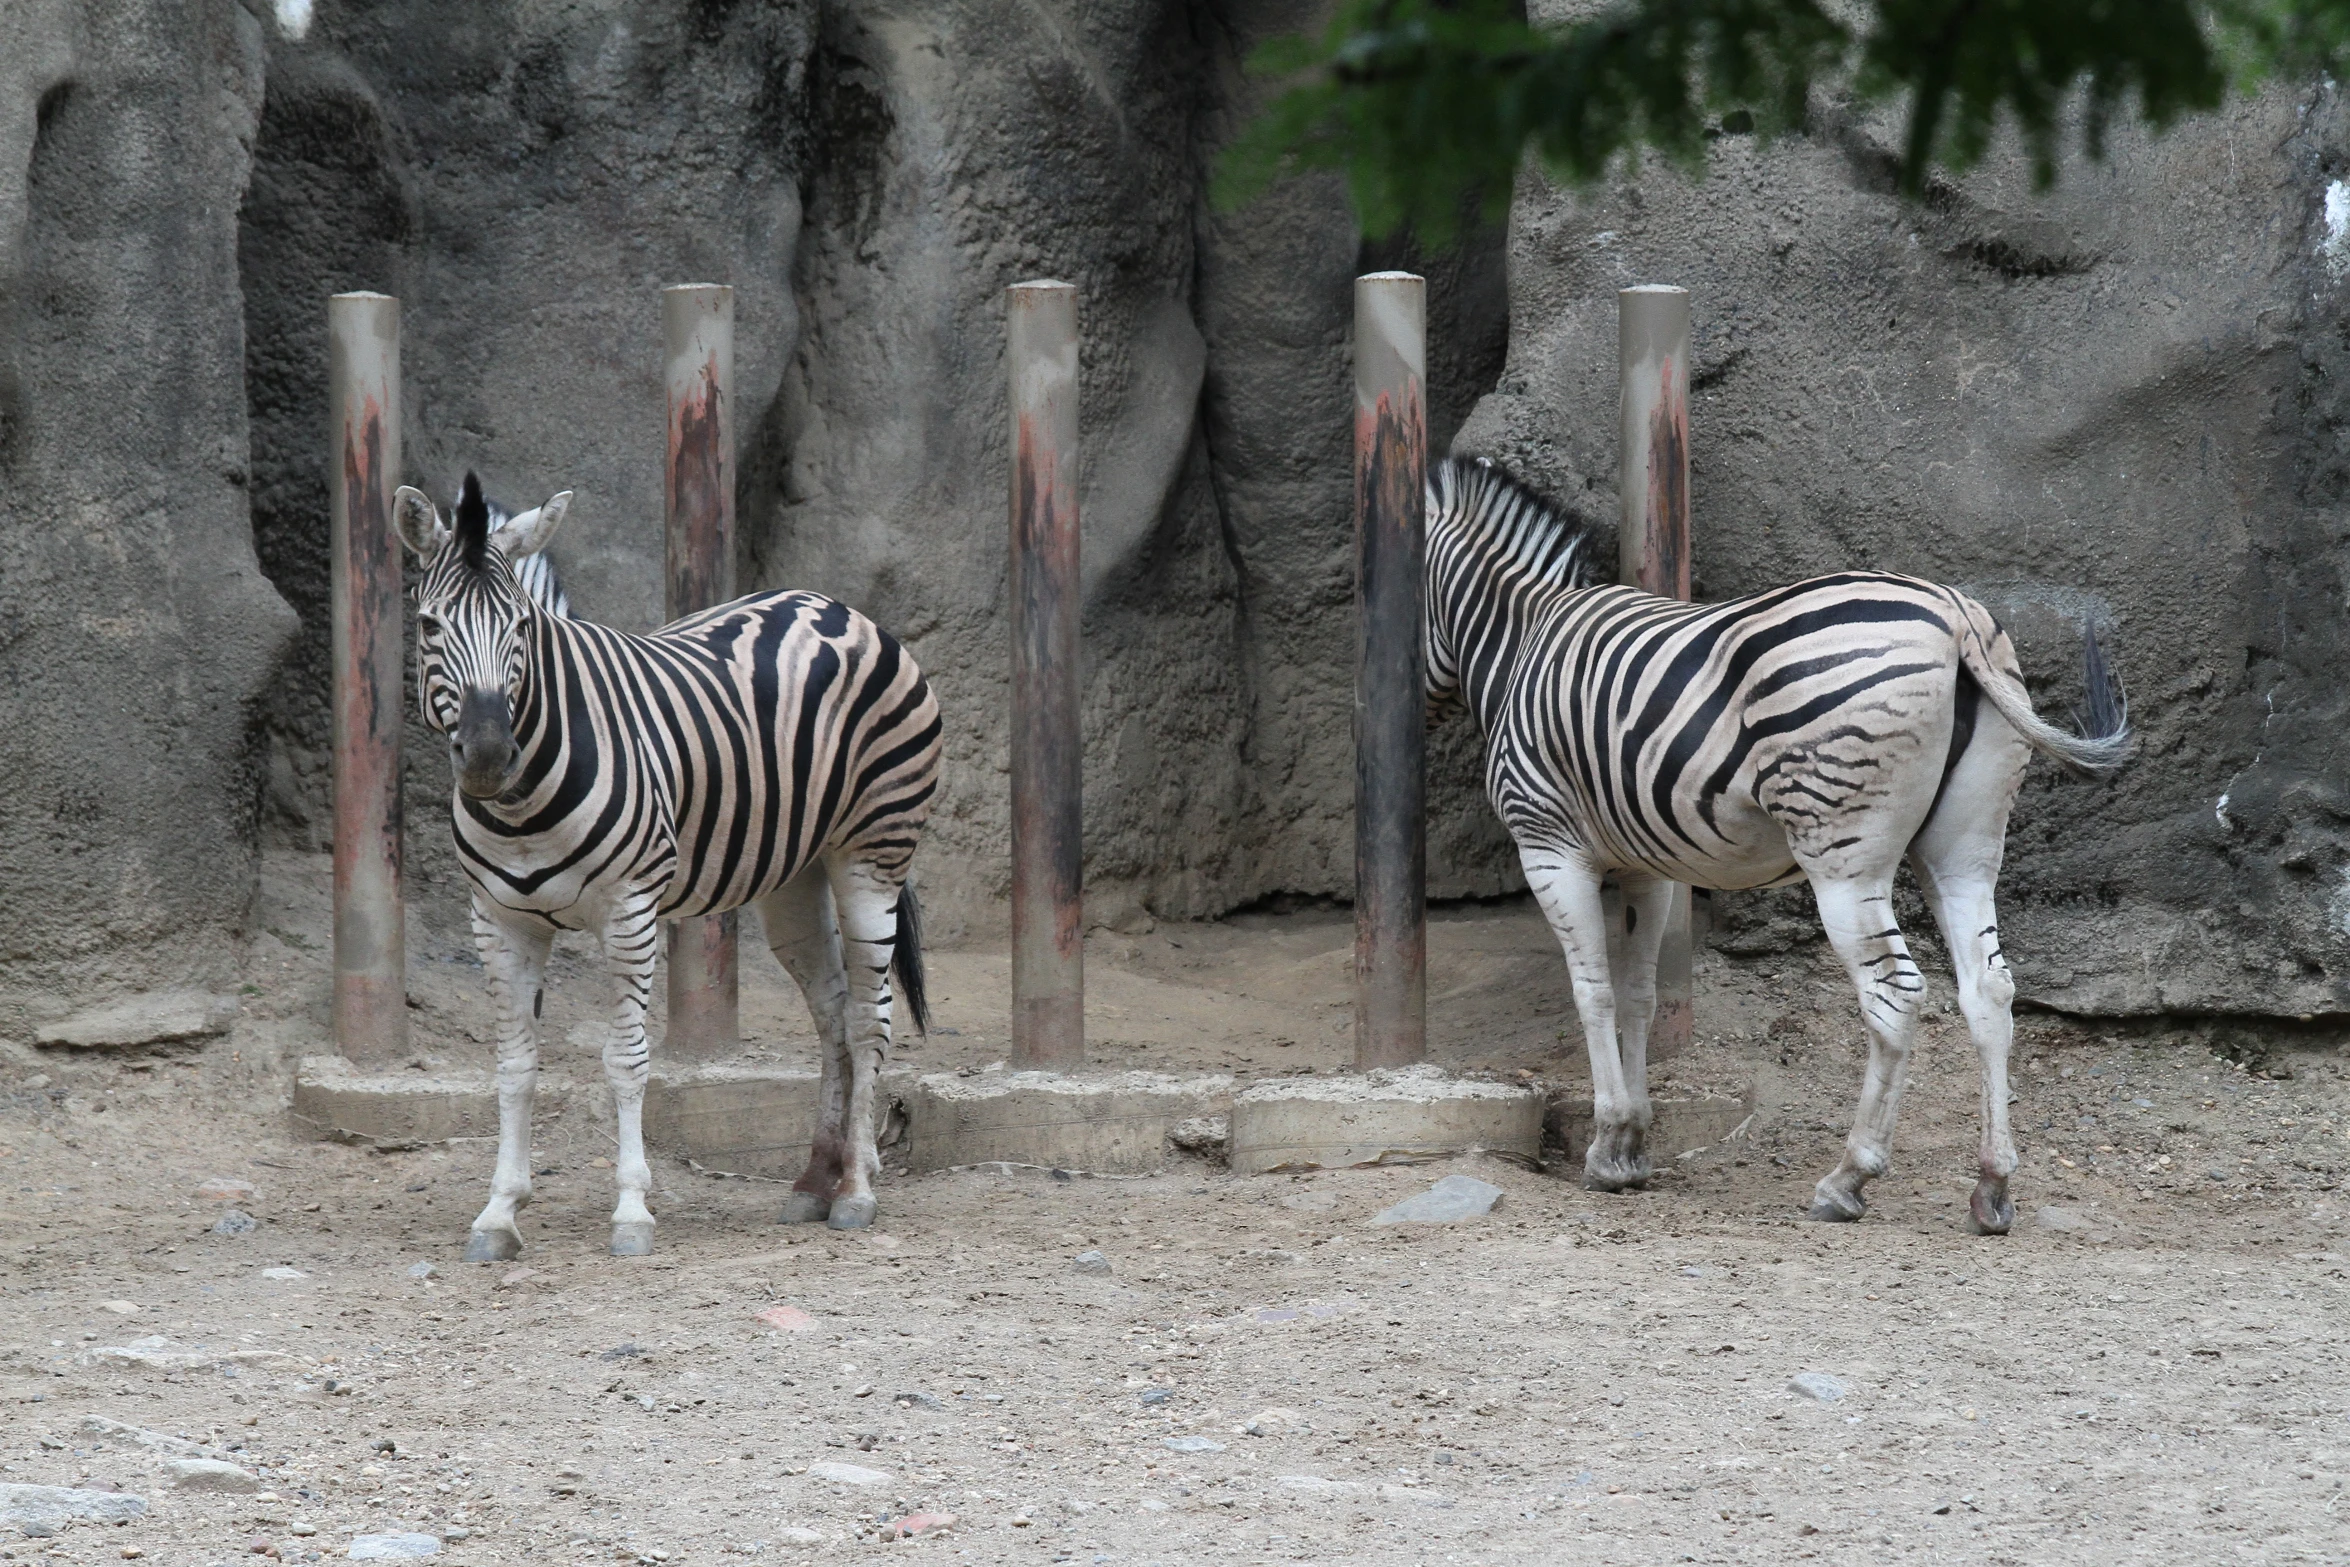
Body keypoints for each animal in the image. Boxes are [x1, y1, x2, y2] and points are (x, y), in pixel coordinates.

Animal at [390, 472, 939, 1259]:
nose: (491, 754)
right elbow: (514, 1067)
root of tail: (834, 607)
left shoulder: (629, 910)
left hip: (872, 853)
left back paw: (858, 1191)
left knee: (869, 1016)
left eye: (521, 628)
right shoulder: (498, 921)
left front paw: (631, 1212)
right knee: (833, 1012)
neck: (523, 808)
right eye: (430, 625)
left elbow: (626, 1059)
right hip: (793, 875)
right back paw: (814, 1181)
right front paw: (498, 1213)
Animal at [1419, 455, 2143, 1240]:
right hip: (1967, 846)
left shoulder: (1548, 843)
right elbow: (1640, 992)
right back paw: (1992, 1185)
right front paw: (1633, 1143)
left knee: (1895, 995)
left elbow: (1594, 991)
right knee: (1991, 991)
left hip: (1841, 850)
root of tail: (1955, 614)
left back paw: (1848, 1178)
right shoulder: (1648, 863)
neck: (1518, 641)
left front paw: (1607, 1142)